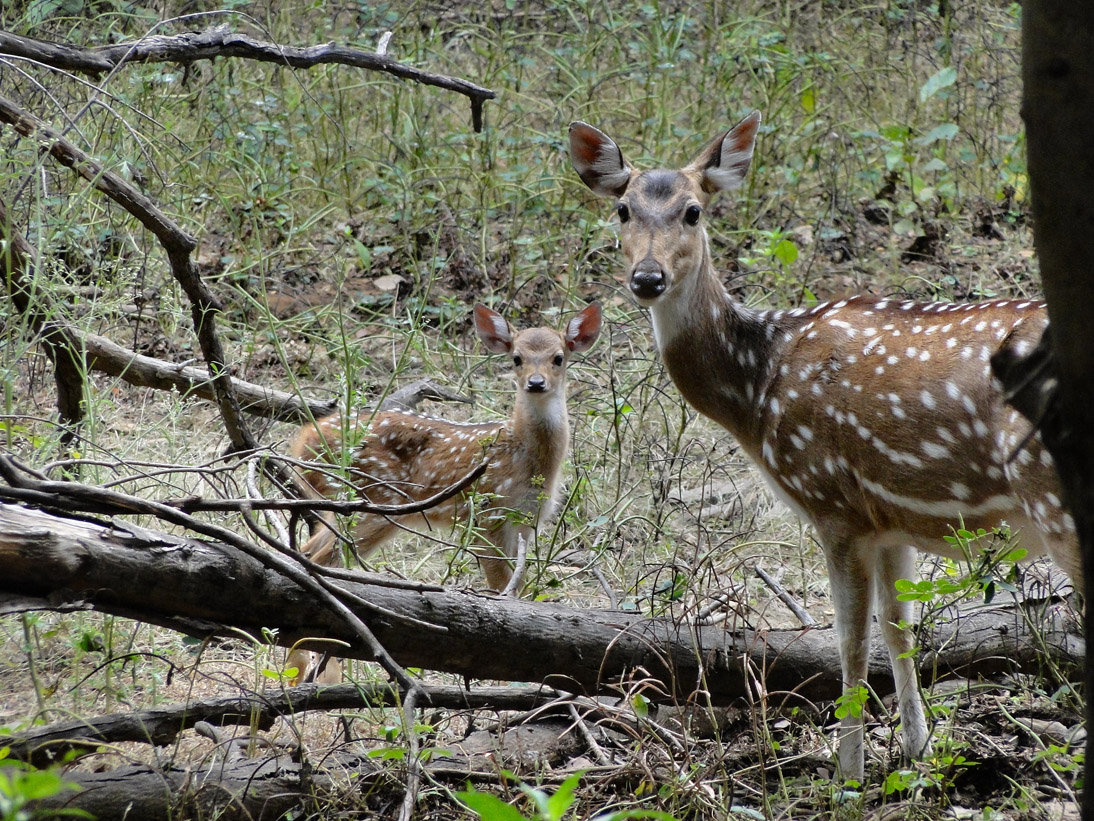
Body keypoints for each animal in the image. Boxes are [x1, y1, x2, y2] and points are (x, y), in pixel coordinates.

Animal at [286, 302, 603, 683]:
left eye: (558, 357)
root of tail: (302, 441)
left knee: (305, 553)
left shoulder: (527, 523)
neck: (525, 458)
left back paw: (299, 670)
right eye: (517, 357)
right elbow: (501, 590)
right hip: (371, 501)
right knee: (321, 562)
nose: (536, 383)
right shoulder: (486, 513)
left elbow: (519, 589)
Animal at [568, 112, 1080, 779]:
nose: (647, 278)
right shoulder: (889, 518)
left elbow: (849, 643)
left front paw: (848, 776)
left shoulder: (832, 502)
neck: (758, 388)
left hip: (1054, 498)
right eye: (623, 209)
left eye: (693, 211)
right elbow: (900, 632)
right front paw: (917, 755)